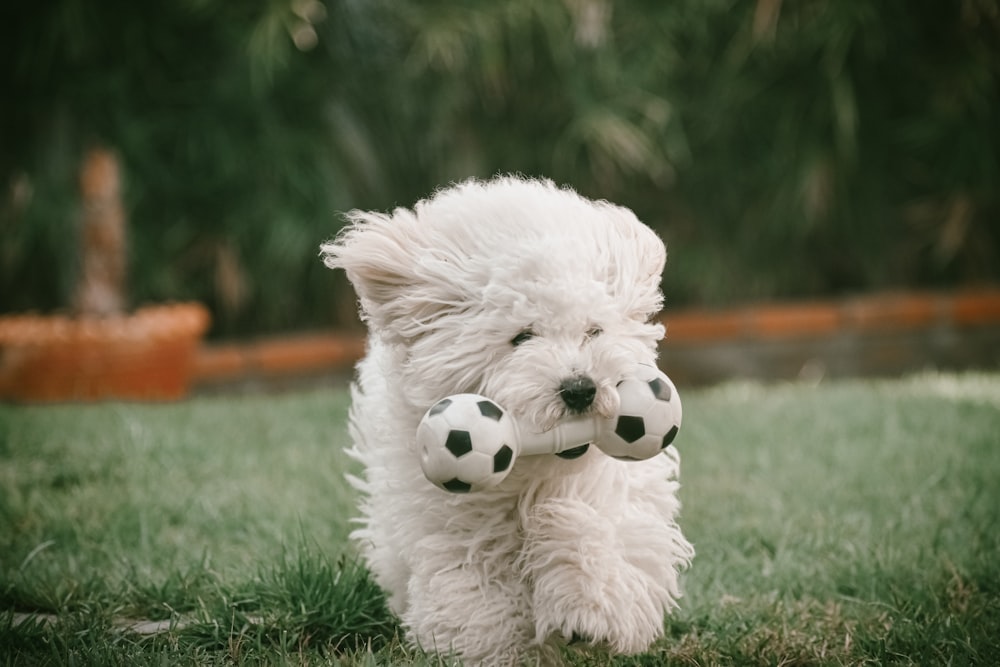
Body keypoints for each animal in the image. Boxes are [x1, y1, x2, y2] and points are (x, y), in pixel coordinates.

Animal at [322, 175, 696, 664]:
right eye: (521, 336)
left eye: (594, 330)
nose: (580, 389)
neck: (531, 475)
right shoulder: (449, 522)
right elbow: (474, 592)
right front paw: (502, 649)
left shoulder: (616, 494)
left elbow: (596, 528)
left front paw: (588, 608)